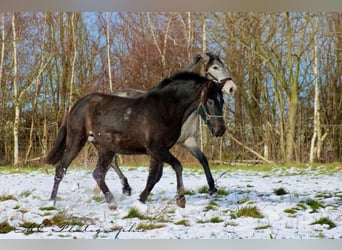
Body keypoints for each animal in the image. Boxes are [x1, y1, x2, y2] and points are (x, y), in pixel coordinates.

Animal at [100, 52, 236, 197]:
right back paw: (125, 187)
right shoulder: (161, 146)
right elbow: (159, 172)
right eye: (215, 67)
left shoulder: (188, 140)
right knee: (112, 161)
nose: (232, 87)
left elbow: (203, 159)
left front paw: (212, 188)